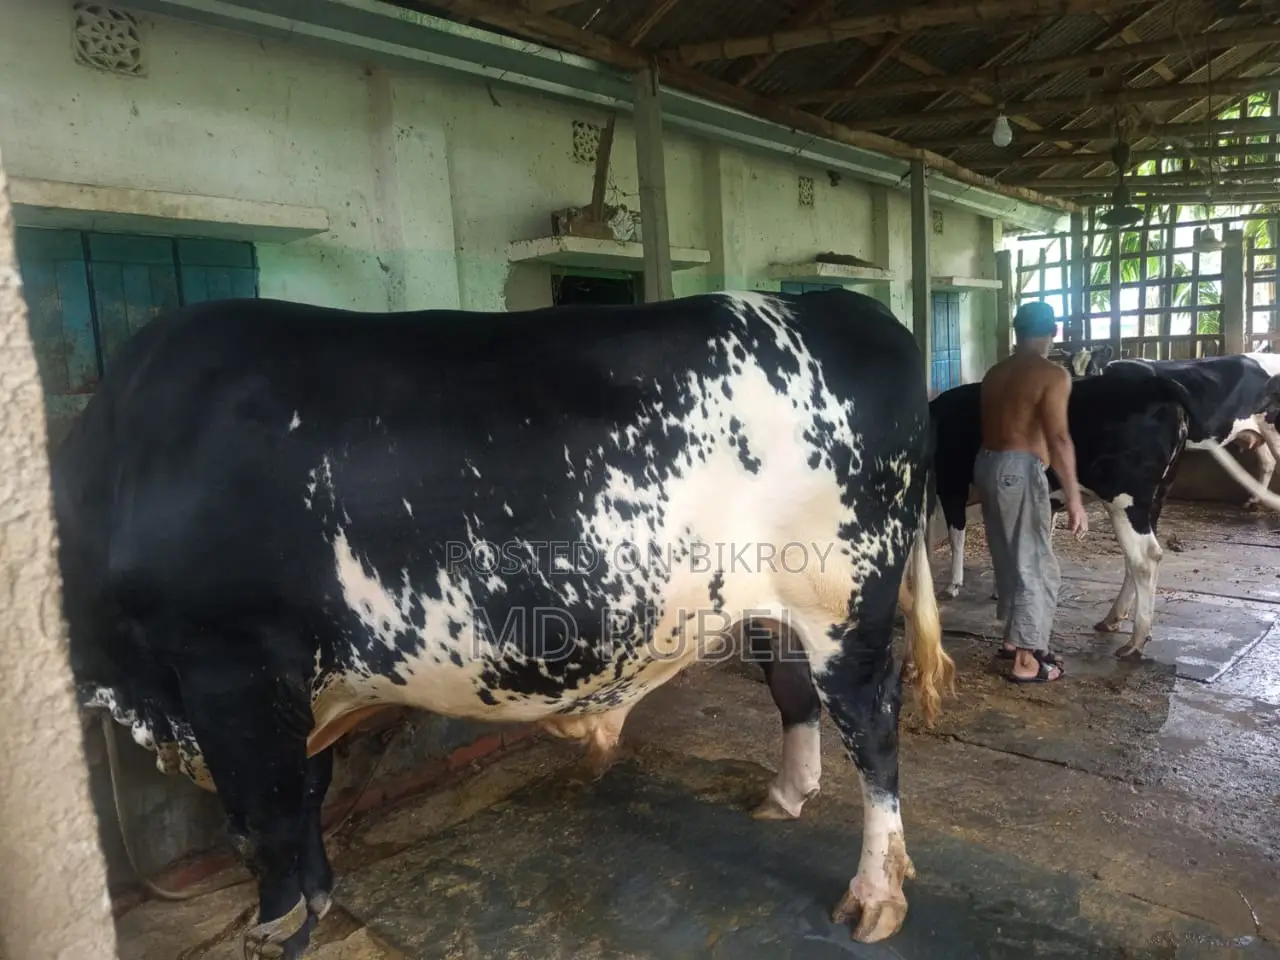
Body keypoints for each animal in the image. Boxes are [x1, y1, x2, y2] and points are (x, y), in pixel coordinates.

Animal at [51, 289, 954, 958]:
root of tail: (845, 306)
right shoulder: (294, 689)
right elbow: (304, 801)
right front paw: (315, 904)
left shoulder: (231, 672)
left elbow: (264, 821)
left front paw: (278, 928)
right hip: (777, 608)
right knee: (794, 693)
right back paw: (784, 796)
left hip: (844, 605)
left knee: (873, 731)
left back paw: (875, 894)